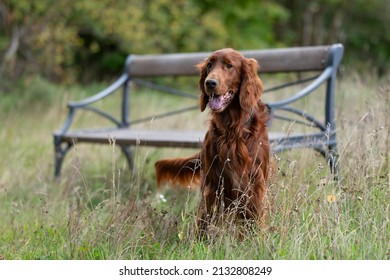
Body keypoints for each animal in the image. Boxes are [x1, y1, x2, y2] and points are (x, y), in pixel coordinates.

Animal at [154, 48, 270, 236]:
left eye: (229, 65)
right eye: (209, 65)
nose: (210, 83)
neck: (233, 130)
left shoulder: (255, 183)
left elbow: (253, 217)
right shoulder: (213, 182)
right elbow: (206, 218)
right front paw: (202, 241)